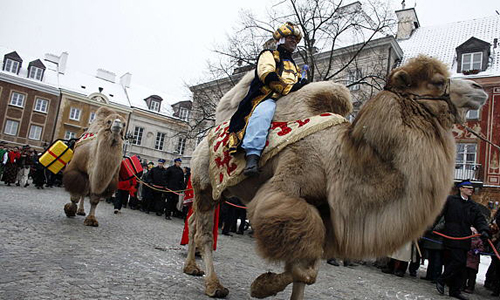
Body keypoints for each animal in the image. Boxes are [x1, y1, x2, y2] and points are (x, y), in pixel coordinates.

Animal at [183, 55, 484, 298]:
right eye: (437, 81)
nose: (478, 88)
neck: (337, 157)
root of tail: (205, 139)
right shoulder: (286, 193)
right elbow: (304, 267)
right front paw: (261, 287)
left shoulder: (322, 212)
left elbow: (308, 270)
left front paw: (267, 286)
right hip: (205, 185)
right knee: (205, 233)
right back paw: (214, 285)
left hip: (220, 190)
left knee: (194, 221)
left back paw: (191, 267)